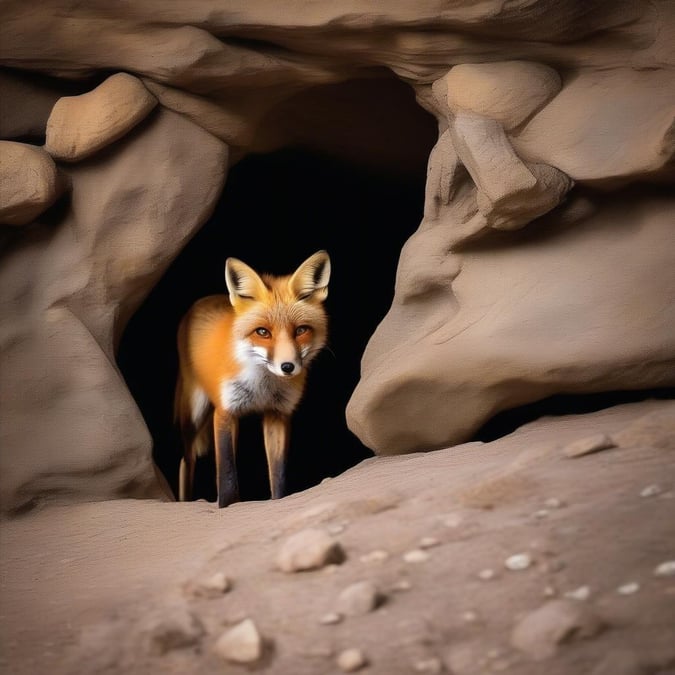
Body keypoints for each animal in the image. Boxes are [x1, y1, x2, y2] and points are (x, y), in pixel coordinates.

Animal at [174, 252, 332, 508]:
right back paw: (185, 501)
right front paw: (227, 506)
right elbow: (227, 472)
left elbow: (278, 472)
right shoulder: (225, 411)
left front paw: (278, 501)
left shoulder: (278, 414)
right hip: (195, 414)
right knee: (186, 459)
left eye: (301, 330)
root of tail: (202, 301)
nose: (287, 367)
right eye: (262, 332)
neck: (263, 386)